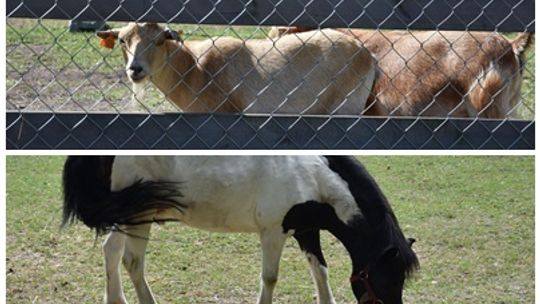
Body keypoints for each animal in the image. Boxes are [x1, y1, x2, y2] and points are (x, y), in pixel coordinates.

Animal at [63, 157, 418, 304]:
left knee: (116, 254)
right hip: (137, 215)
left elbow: (320, 270)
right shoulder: (274, 231)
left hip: (131, 215)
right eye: (391, 279)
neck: (314, 174)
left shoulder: (306, 229)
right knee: (127, 259)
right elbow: (270, 278)